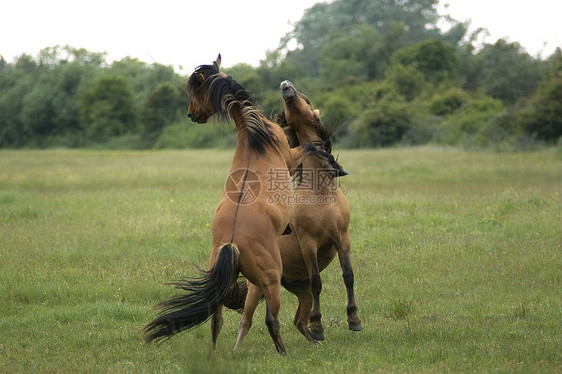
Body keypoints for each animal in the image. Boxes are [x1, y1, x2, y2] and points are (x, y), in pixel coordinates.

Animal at [143, 54, 346, 356]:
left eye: (195, 93)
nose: (191, 115)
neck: (255, 135)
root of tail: (231, 244)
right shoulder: (290, 156)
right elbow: (309, 147)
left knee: (217, 319)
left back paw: (216, 355)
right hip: (270, 280)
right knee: (271, 319)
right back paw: (283, 354)